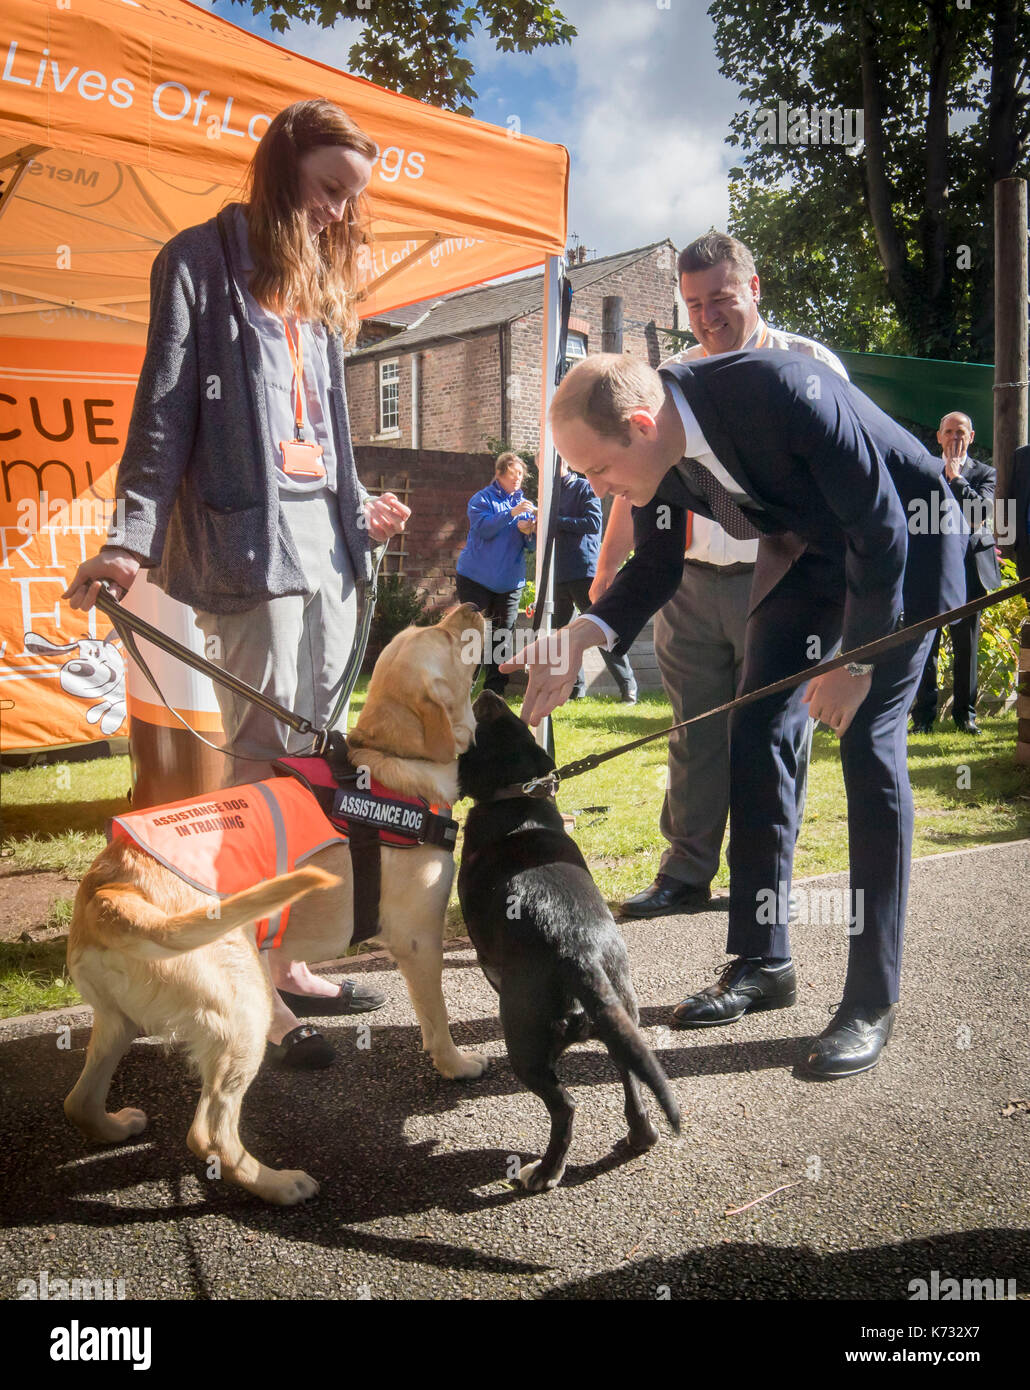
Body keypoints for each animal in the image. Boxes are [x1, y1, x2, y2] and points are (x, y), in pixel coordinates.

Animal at [65, 608, 489, 1206]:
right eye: (448, 639)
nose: (474, 607)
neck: (388, 762)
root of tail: (111, 890)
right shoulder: (419, 941)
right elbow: (438, 1018)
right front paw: (455, 1065)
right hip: (244, 1008)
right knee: (209, 1133)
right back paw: (277, 1183)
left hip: (117, 1020)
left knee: (78, 1102)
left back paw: (115, 1126)